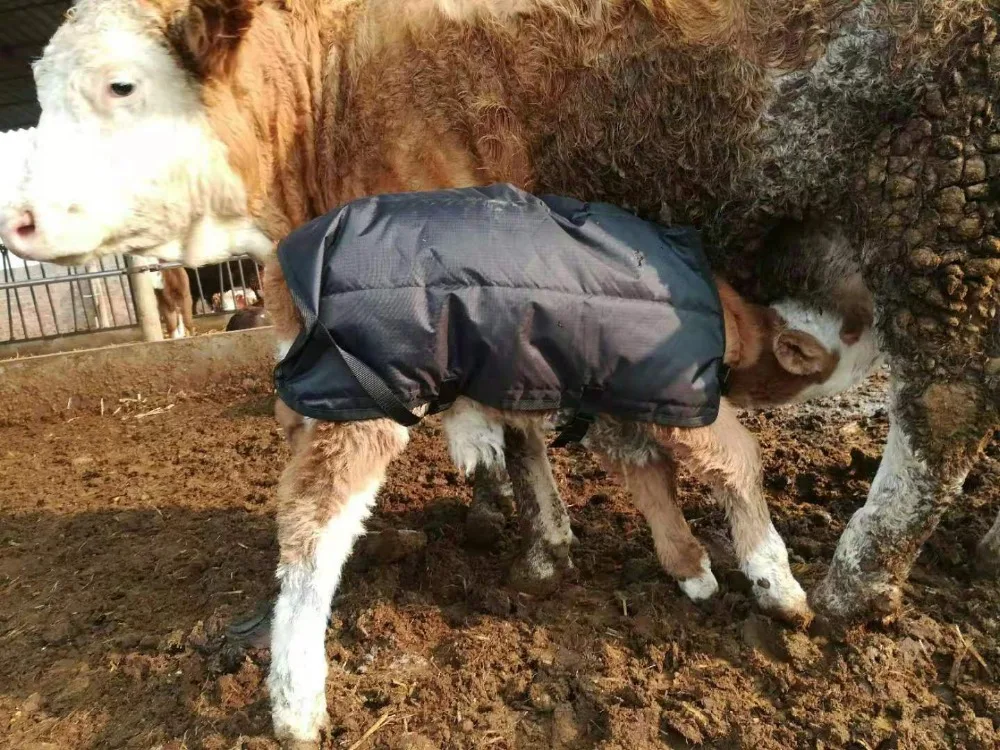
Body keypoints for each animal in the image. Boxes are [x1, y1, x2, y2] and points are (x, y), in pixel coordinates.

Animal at [0, 0, 998, 743]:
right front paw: (544, 537)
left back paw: (854, 579)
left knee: (947, 403)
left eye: (122, 83)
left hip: (944, 204)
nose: (17, 218)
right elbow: (527, 430)